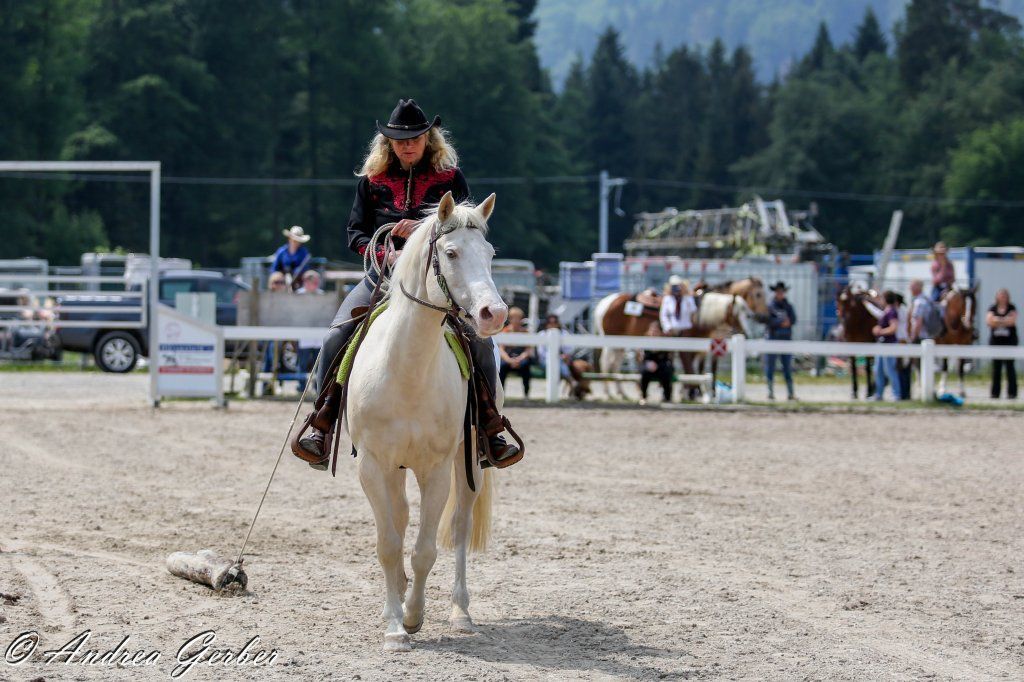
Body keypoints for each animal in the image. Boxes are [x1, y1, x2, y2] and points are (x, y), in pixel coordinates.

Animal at [346, 191, 506, 652]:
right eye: (451, 253)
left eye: (489, 253)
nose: (494, 314)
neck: (407, 371)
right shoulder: (373, 466)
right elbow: (389, 543)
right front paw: (394, 626)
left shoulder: (435, 470)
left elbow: (425, 550)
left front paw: (413, 616)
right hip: (396, 469)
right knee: (399, 518)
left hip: (468, 463)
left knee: (459, 527)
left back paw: (460, 612)